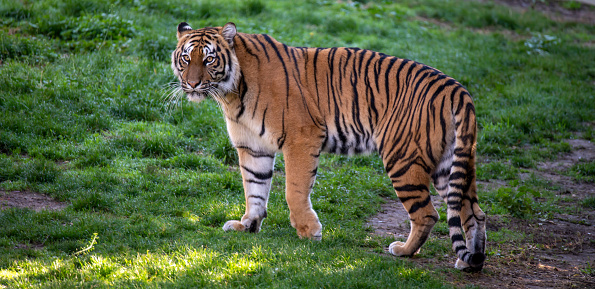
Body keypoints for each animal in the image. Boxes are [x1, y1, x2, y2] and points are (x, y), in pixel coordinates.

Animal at [170, 20, 486, 270]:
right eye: (186, 59)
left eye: (209, 60)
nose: (192, 84)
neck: (231, 92)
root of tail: (456, 89)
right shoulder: (252, 147)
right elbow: (255, 190)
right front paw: (247, 225)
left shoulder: (301, 138)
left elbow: (294, 191)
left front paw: (309, 232)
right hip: (449, 166)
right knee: (473, 212)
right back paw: (471, 261)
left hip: (404, 158)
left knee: (427, 213)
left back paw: (404, 251)